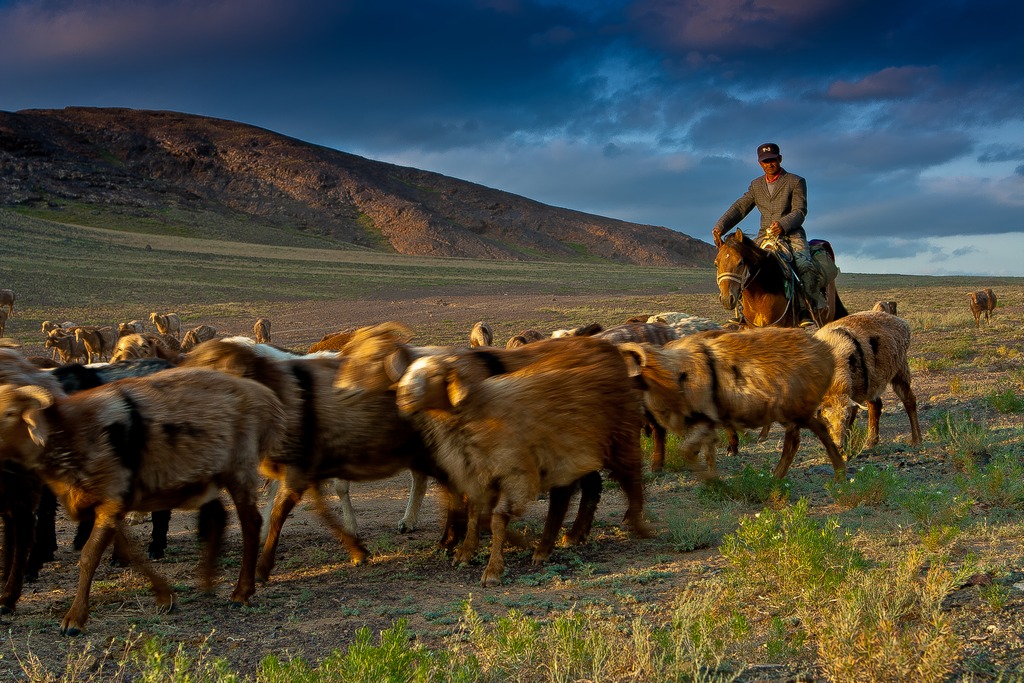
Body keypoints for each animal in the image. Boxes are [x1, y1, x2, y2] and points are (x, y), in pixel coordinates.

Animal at [0, 368, 284, 634]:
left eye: (10, 413)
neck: (70, 431)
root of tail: (262, 395)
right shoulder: (107, 504)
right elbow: (129, 551)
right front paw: (165, 596)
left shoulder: (112, 499)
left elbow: (90, 556)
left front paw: (74, 619)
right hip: (202, 477)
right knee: (218, 517)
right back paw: (207, 582)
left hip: (238, 468)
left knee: (251, 522)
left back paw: (241, 592)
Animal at [395, 333, 651, 585]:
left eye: (434, 374)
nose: (402, 395)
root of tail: (610, 349)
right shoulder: (478, 473)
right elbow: (476, 512)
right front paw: (466, 552)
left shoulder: (514, 472)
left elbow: (497, 517)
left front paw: (494, 568)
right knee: (585, 487)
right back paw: (569, 537)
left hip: (617, 438)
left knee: (630, 478)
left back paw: (635, 525)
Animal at [618, 327, 843, 481]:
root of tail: (825, 351)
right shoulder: (705, 423)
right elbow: (707, 452)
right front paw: (714, 478)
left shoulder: (704, 419)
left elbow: (688, 452)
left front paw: (710, 480)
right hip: (795, 410)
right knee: (809, 434)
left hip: (793, 408)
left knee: (800, 439)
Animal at [811, 309, 925, 448]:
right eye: (826, 419)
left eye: (846, 417)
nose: (839, 445)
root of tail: (901, 322)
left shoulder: (856, 395)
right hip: (872, 381)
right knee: (876, 405)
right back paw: (871, 442)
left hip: (900, 368)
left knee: (909, 400)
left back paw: (916, 439)